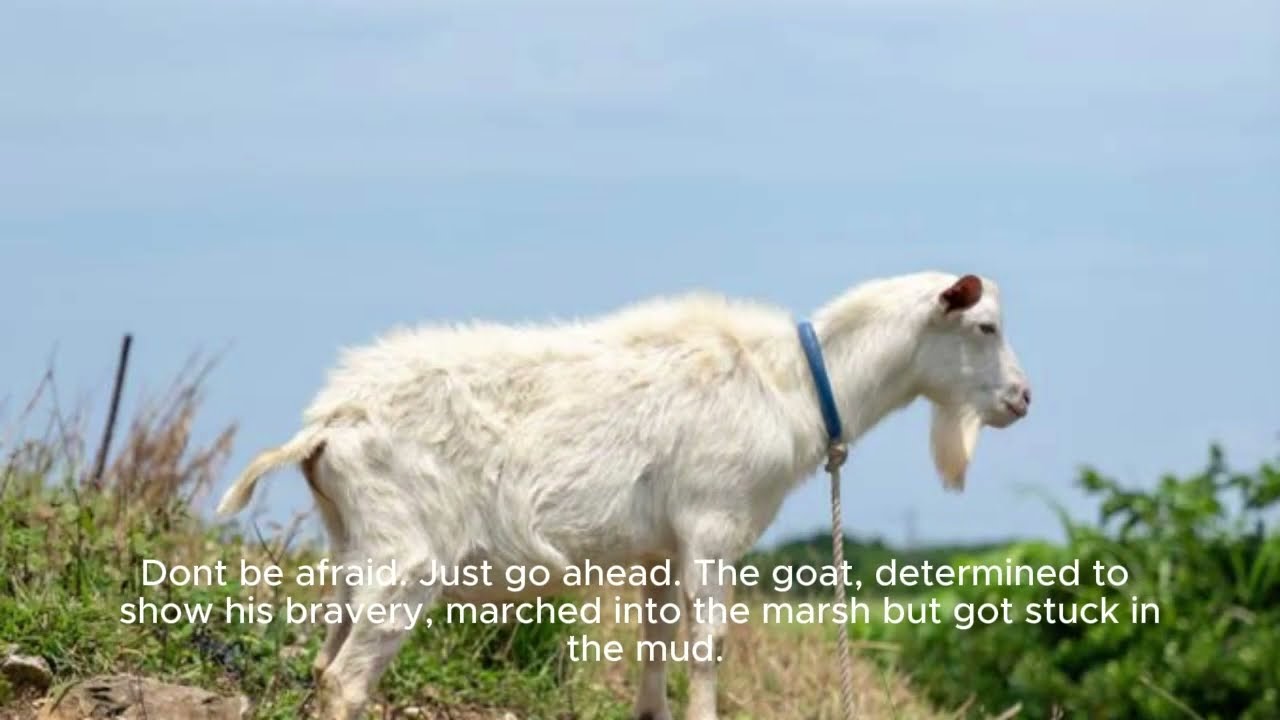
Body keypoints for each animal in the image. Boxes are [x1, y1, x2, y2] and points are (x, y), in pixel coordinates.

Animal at [216, 271, 1031, 720]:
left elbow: (657, 644)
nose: (1022, 399)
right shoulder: (712, 527)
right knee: (347, 681)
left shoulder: (661, 549)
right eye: (985, 326)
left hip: (352, 549)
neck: (791, 385)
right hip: (408, 558)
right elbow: (707, 648)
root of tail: (327, 424)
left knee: (323, 660)